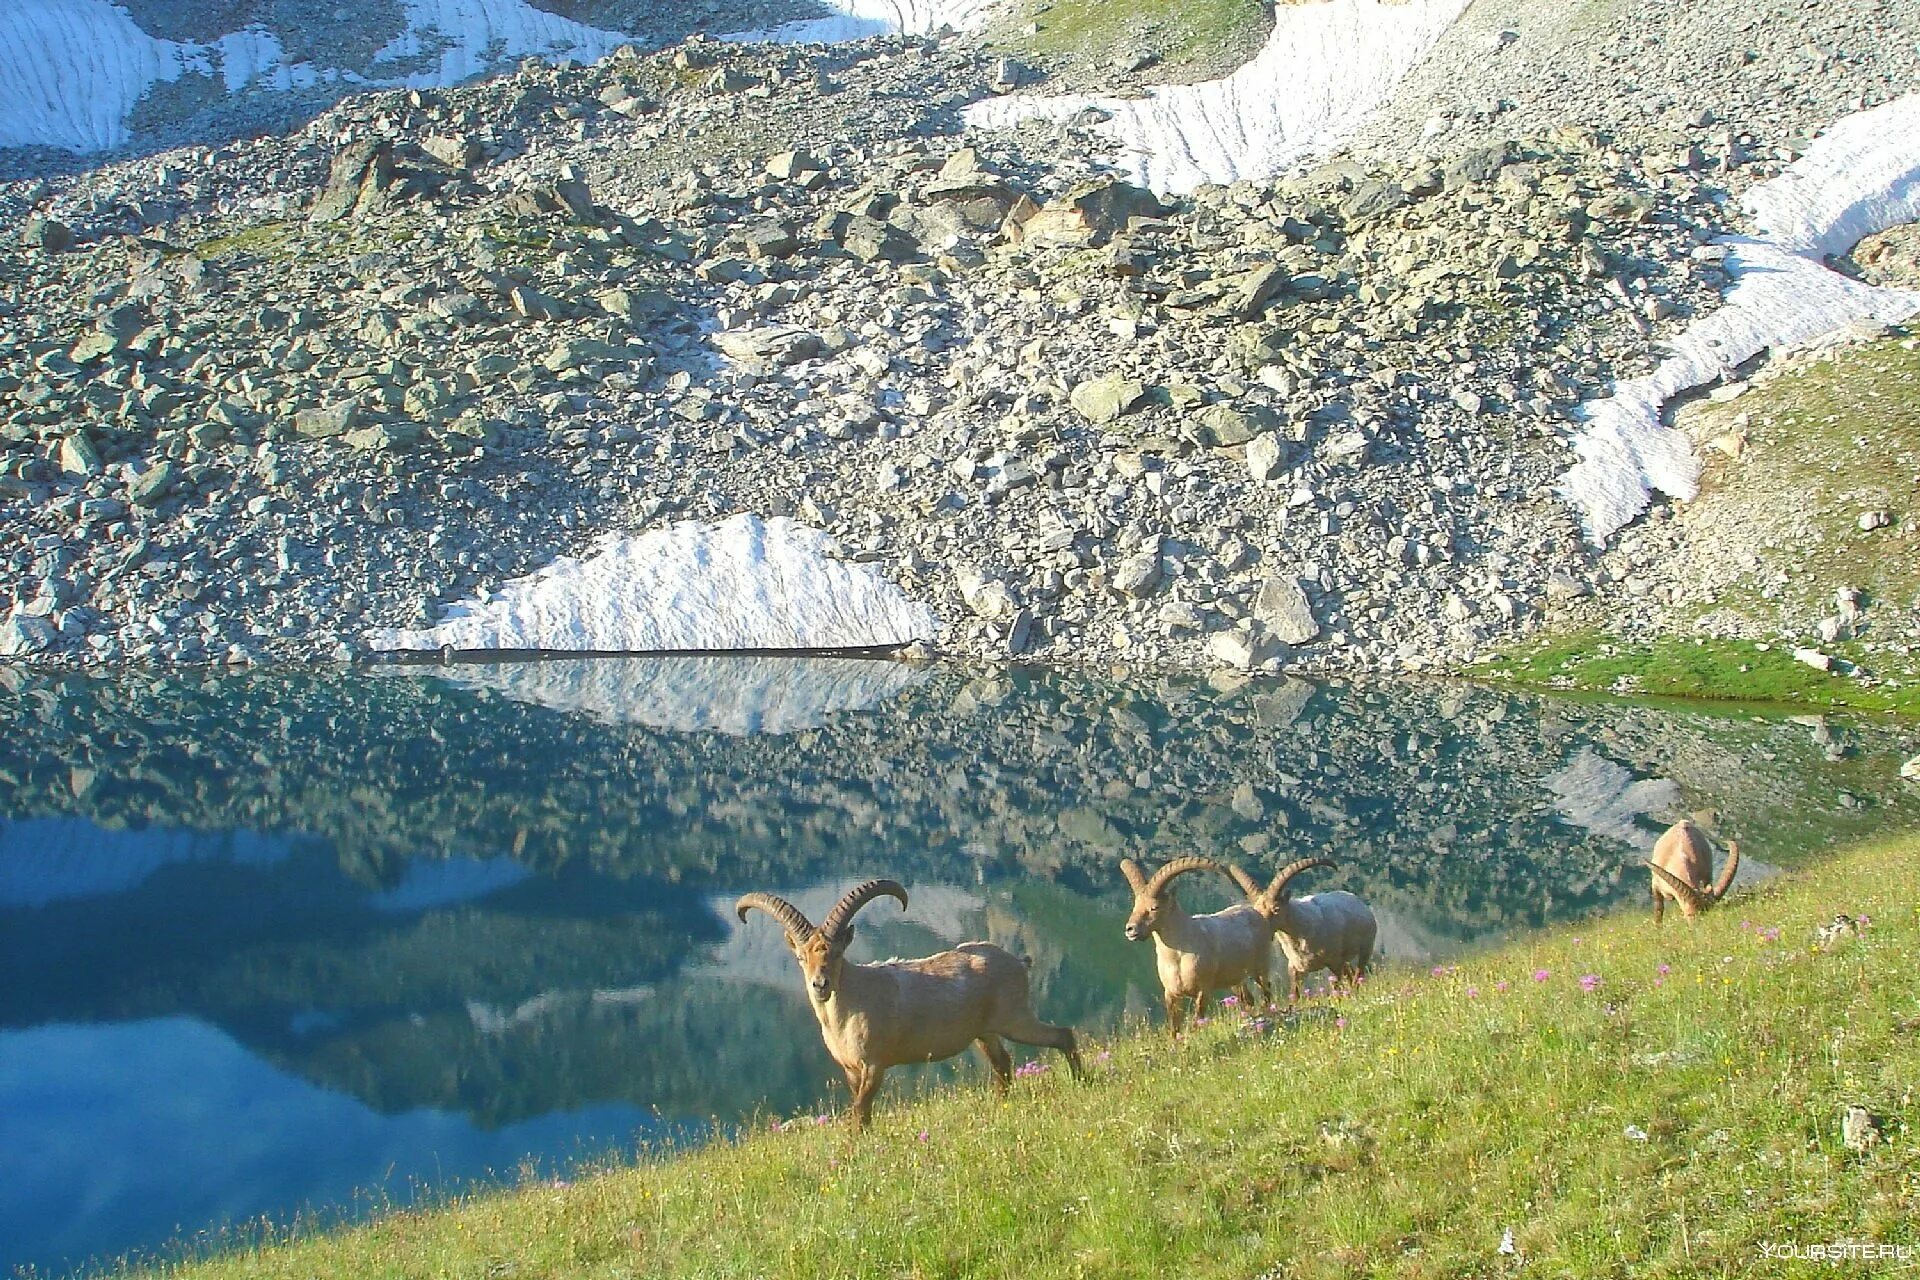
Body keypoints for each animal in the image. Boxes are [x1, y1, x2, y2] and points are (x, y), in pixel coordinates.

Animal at [733, 882, 1082, 1128]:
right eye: (801, 957)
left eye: (836, 953)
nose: (821, 984)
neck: (850, 1007)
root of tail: (1019, 962)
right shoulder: (851, 1069)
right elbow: (860, 1108)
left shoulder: (875, 1064)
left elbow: (861, 1111)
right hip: (985, 1033)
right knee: (1004, 1064)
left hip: (1014, 1018)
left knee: (1062, 1035)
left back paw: (1081, 1082)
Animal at [1121, 859, 1274, 1028]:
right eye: (1136, 904)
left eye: (1154, 907)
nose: (1130, 929)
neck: (1178, 956)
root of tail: (1257, 913)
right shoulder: (1171, 994)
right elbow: (1175, 1027)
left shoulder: (1203, 990)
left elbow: (1197, 1020)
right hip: (1235, 979)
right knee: (1248, 999)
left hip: (1260, 968)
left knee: (1266, 991)